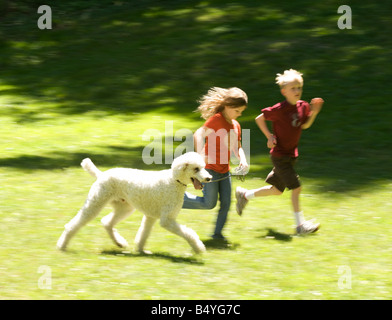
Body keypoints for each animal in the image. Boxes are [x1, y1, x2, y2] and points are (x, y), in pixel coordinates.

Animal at [56, 152, 211, 255]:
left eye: (203, 167)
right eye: (196, 168)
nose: (209, 178)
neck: (173, 180)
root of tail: (101, 174)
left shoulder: (150, 217)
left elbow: (143, 234)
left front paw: (142, 250)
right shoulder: (167, 220)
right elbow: (189, 233)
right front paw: (199, 248)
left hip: (124, 208)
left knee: (107, 222)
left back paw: (119, 243)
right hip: (95, 203)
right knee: (73, 225)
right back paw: (62, 246)